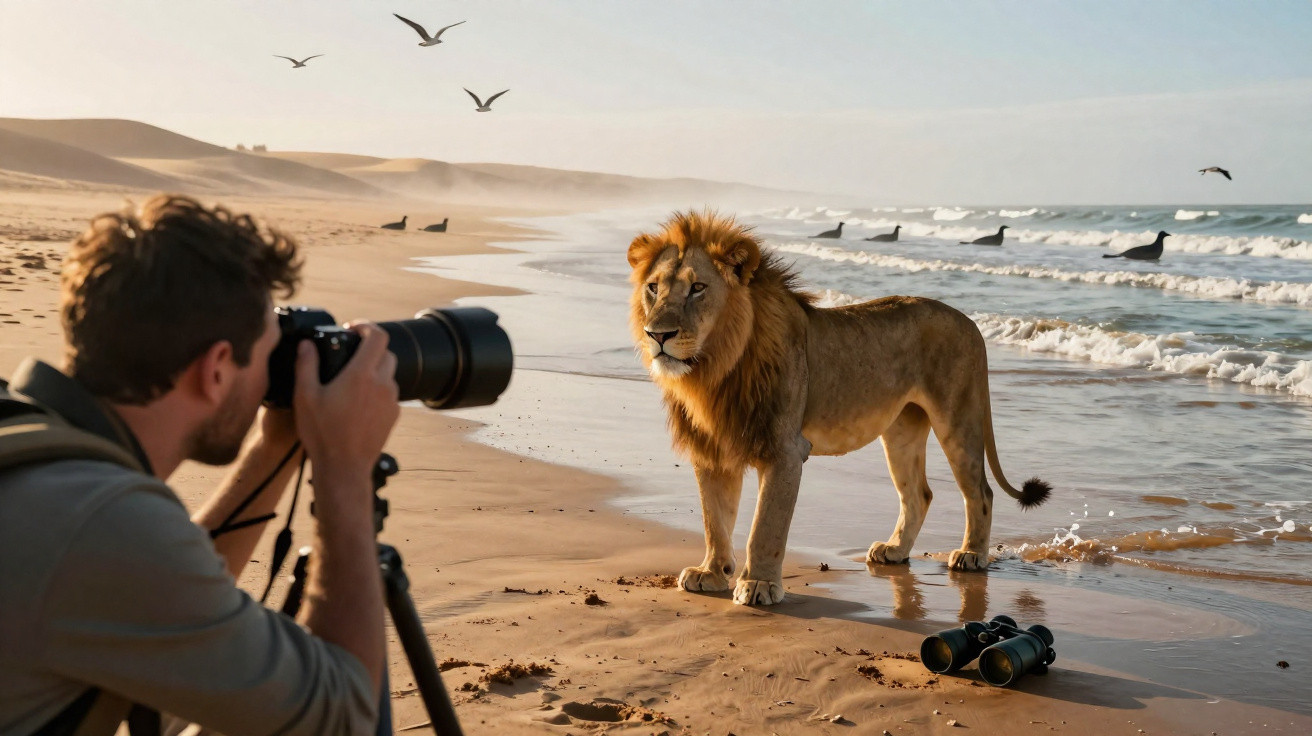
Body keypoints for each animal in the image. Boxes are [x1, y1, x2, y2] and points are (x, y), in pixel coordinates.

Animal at [627, 211, 1050, 606]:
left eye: (697, 288)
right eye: (653, 288)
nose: (657, 335)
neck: (714, 370)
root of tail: (971, 323)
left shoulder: (785, 451)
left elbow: (765, 526)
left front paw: (759, 584)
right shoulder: (711, 449)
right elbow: (714, 518)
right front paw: (712, 573)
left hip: (957, 419)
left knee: (980, 491)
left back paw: (971, 555)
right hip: (901, 430)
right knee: (919, 494)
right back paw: (894, 551)